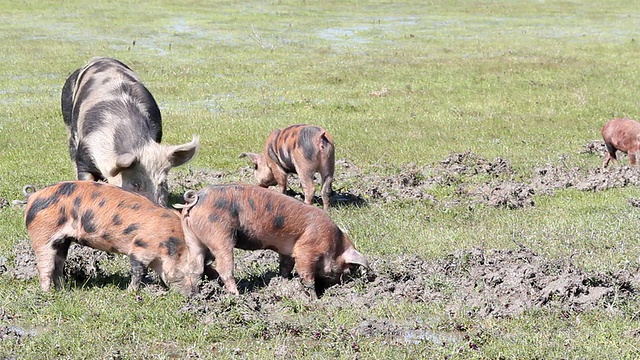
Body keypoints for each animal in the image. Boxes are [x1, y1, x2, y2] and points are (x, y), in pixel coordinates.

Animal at [23, 180, 202, 296]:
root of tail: (33, 196)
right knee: (44, 265)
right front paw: (131, 293)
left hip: (62, 241)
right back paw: (47, 294)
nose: (193, 295)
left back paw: (63, 290)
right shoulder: (140, 247)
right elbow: (139, 271)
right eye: (189, 271)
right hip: (43, 234)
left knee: (58, 265)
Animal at [176, 184, 370, 296]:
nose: (334, 285)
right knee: (224, 268)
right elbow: (306, 273)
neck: (334, 243)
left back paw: (195, 295)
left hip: (193, 239)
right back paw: (238, 296)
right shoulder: (306, 250)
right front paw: (314, 297)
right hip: (220, 235)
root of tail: (197, 198)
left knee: (195, 268)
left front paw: (283, 281)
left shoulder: (287, 252)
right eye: (349, 268)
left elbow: (285, 266)